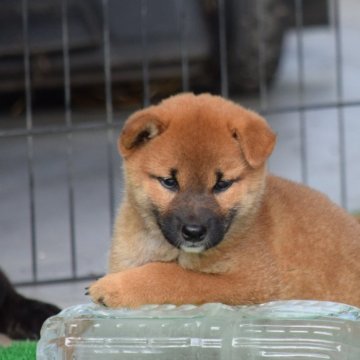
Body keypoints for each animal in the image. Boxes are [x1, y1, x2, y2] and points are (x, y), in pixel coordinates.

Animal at [88, 92, 360, 306]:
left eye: (222, 184)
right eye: (169, 182)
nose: (194, 232)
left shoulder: (249, 283)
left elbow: (177, 277)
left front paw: (115, 287)